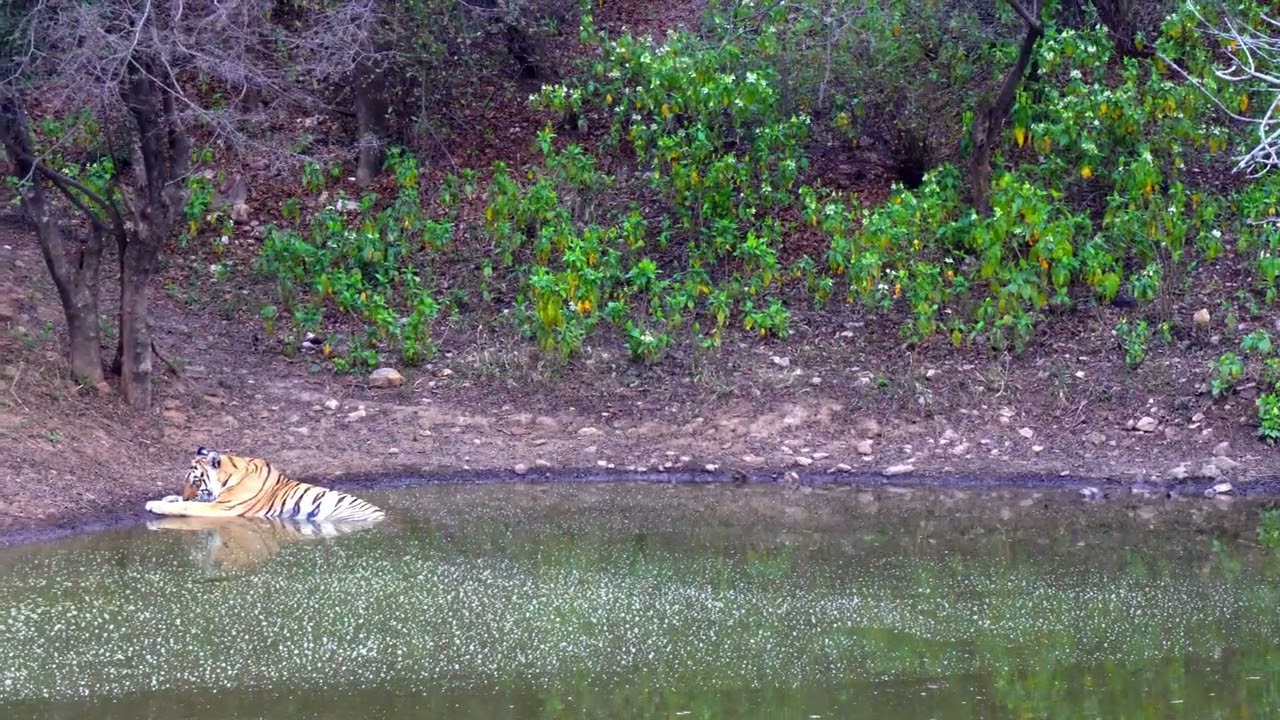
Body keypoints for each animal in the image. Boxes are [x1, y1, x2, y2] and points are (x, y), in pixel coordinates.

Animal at [144, 447, 386, 523]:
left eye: (196, 481)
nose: (186, 494)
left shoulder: (222, 507)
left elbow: (188, 507)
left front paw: (156, 505)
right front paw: (169, 497)